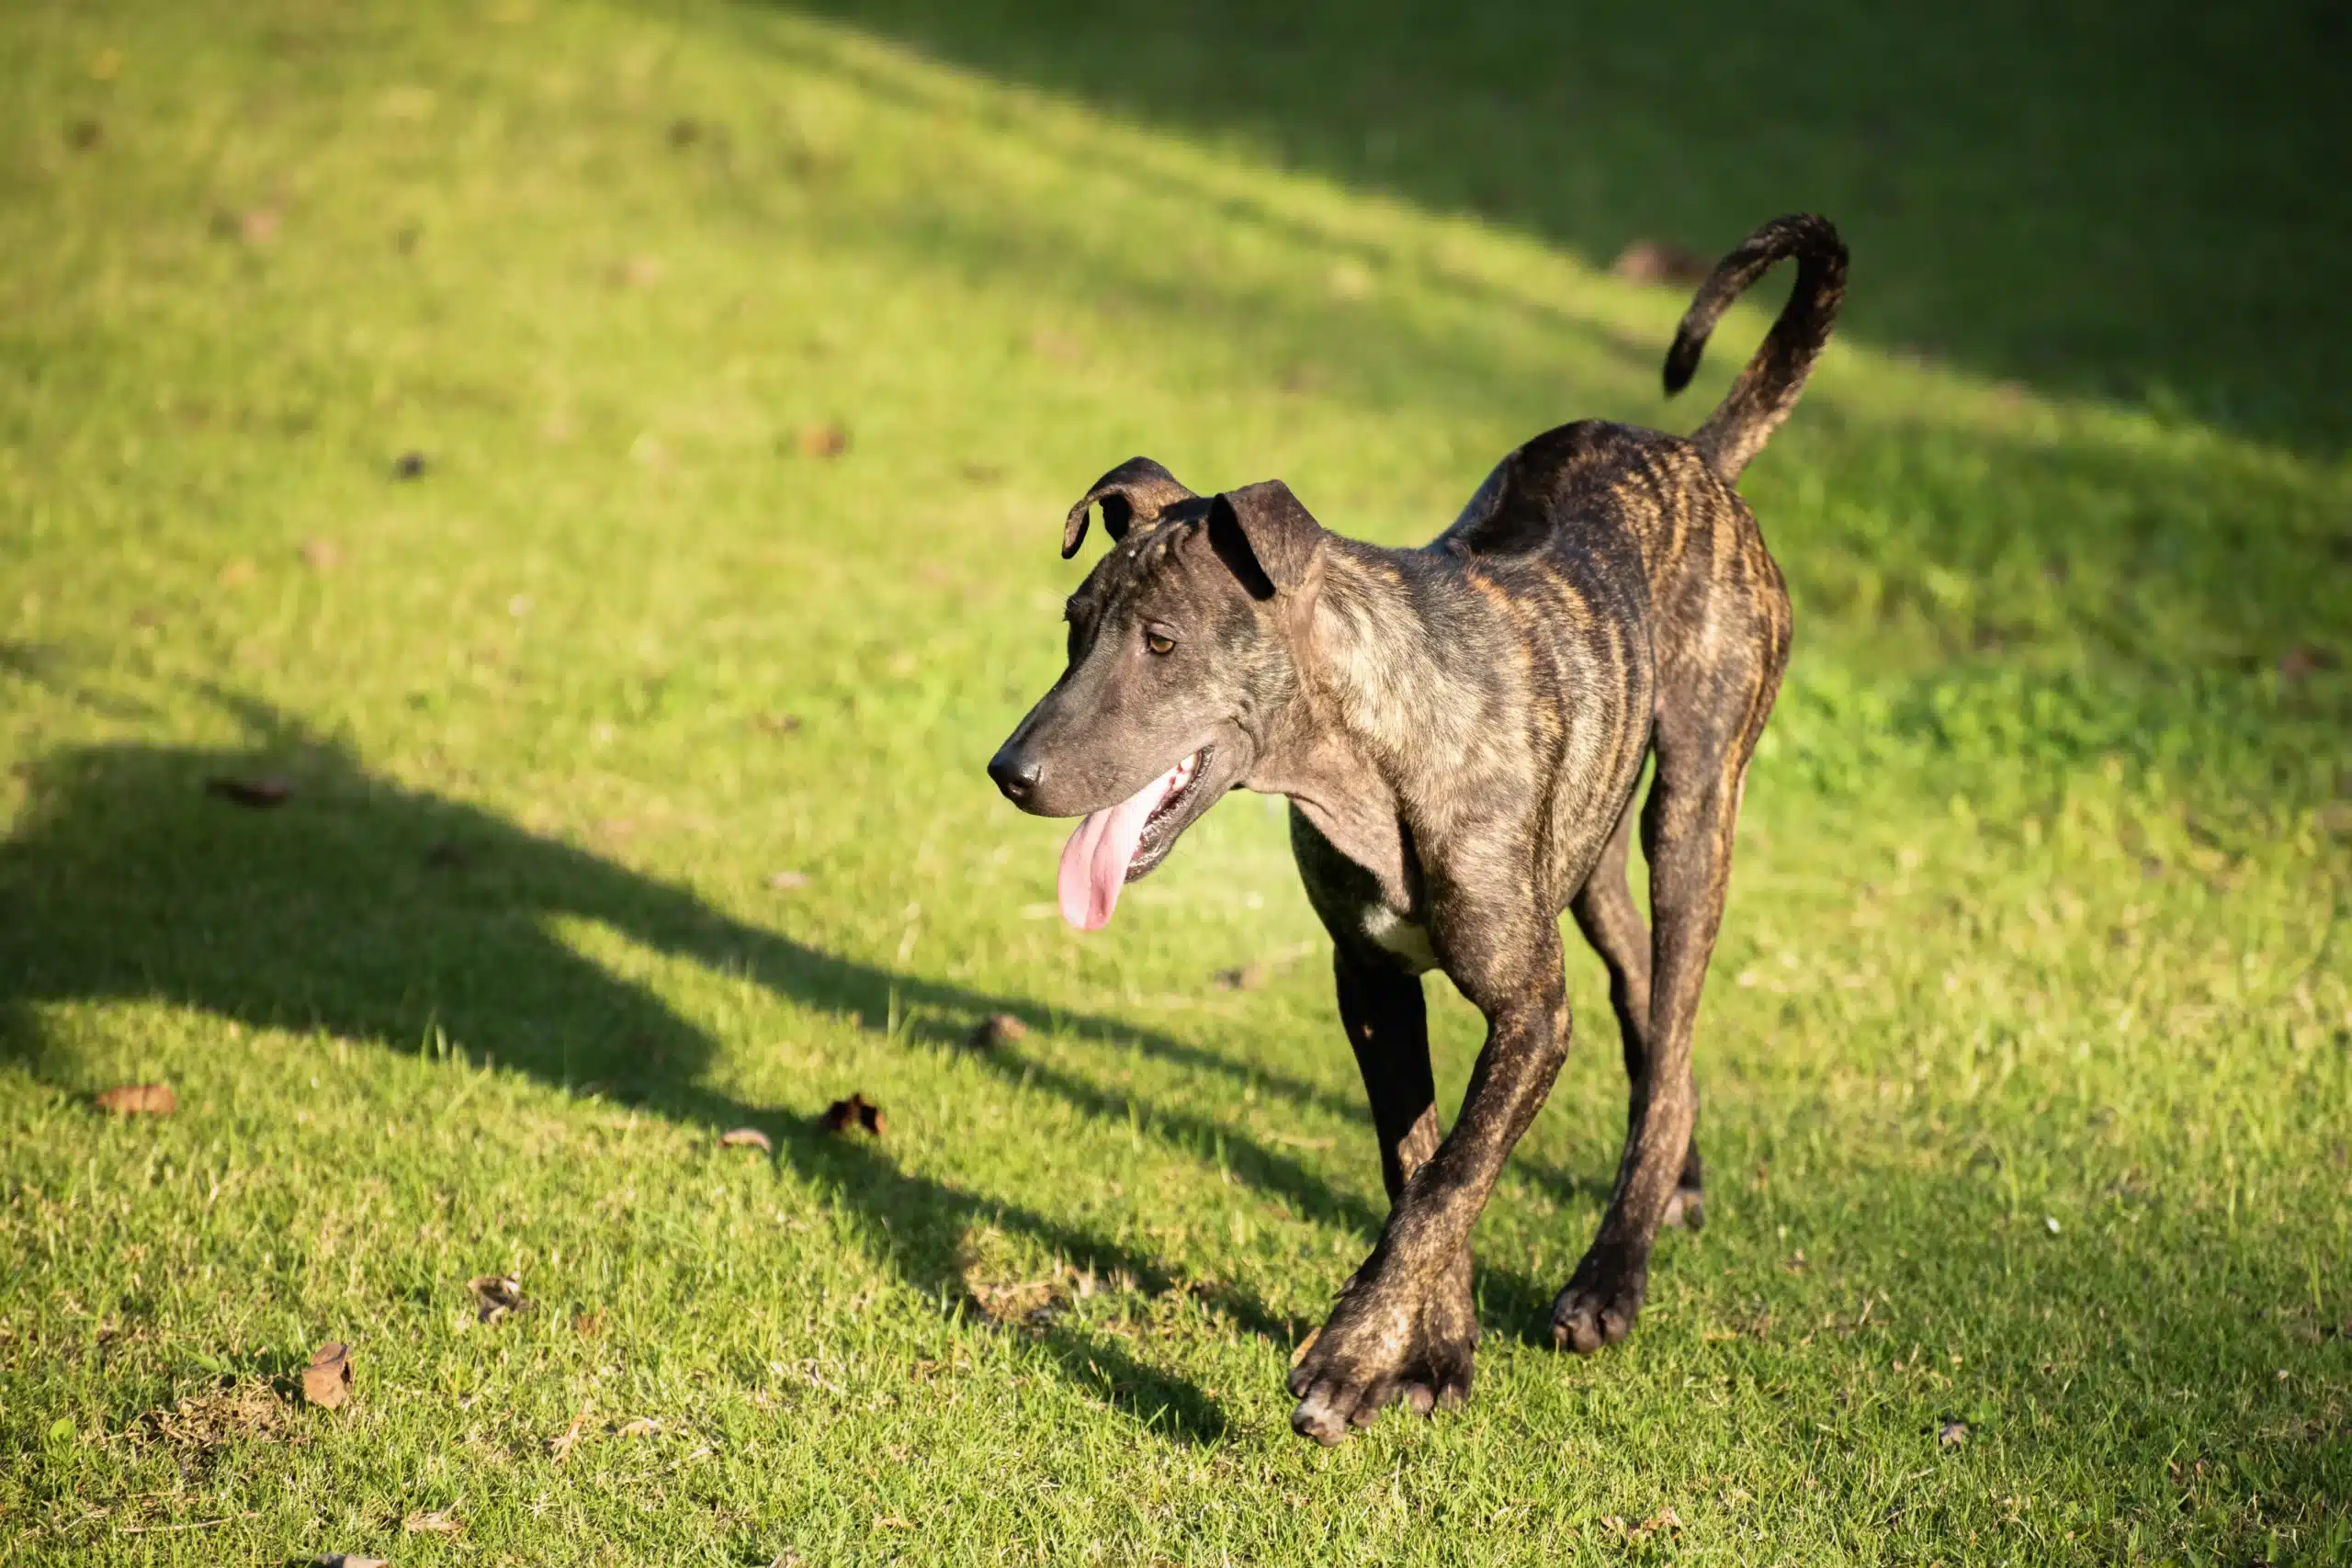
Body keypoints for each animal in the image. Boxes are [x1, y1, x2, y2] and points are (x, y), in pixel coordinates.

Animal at [983, 211, 1844, 1448]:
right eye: (1071, 626)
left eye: (1160, 641)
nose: (1010, 773)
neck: (1367, 759)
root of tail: (1694, 457)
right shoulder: (1373, 984)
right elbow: (1418, 1163)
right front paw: (1435, 1353)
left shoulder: (1529, 1014)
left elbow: (1448, 1182)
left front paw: (1348, 1358)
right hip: (1585, 847)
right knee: (1647, 1004)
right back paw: (1670, 1180)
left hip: (1691, 807)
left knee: (1675, 1002)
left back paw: (1610, 1275)